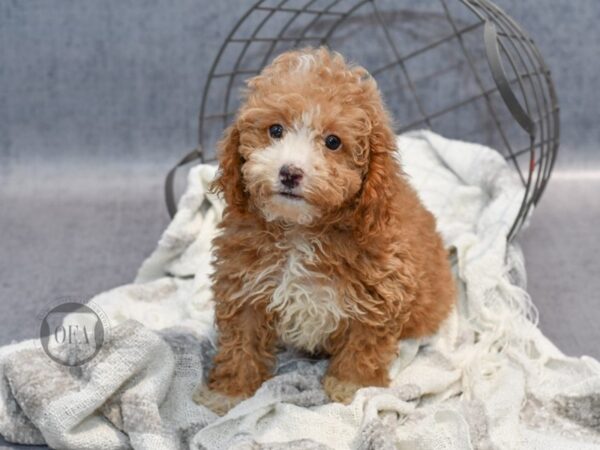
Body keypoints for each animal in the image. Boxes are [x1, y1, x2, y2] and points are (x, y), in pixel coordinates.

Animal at [196, 47, 454, 414]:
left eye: (333, 142)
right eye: (276, 130)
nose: (290, 172)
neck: (300, 231)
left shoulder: (380, 291)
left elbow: (363, 344)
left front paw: (351, 387)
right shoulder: (243, 286)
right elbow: (240, 343)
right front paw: (230, 391)